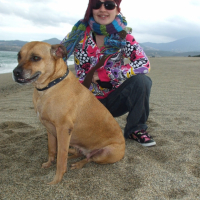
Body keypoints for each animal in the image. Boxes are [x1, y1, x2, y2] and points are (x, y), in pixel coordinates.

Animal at [12, 41, 125, 184]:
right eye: (18, 56)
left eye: (36, 58)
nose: (15, 72)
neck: (49, 86)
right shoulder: (50, 130)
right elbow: (52, 149)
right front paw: (49, 163)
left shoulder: (63, 129)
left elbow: (61, 158)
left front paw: (56, 181)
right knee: (78, 153)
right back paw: (72, 156)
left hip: (106, 152)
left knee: (89, 158)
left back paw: (78, 163)